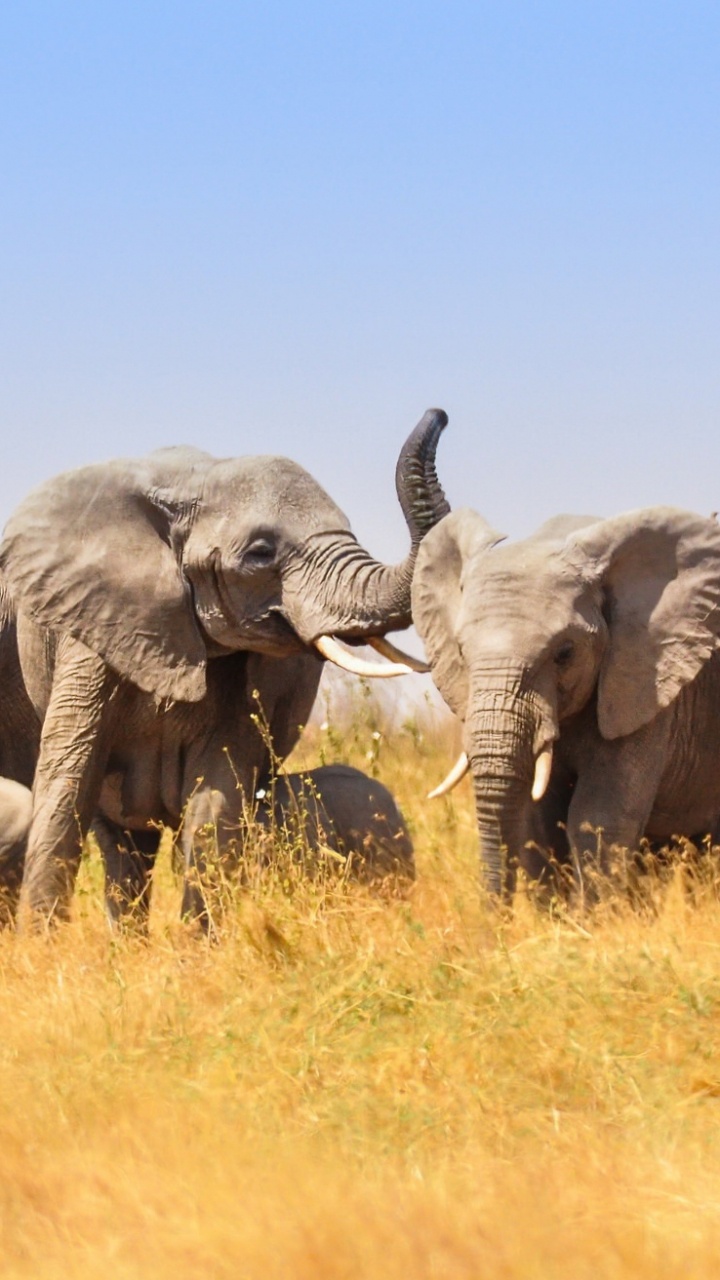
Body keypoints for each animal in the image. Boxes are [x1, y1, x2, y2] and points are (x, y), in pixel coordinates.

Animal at [412, 505, 720, 902]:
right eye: (462, 652)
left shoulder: (646, 684)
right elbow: (540, 821)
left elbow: (598, 818)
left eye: (565, 653)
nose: (496, 915)